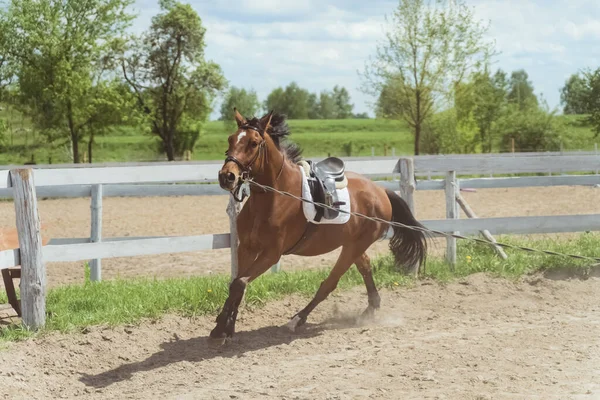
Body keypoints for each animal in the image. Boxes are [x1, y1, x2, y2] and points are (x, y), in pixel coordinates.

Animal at [211, 110, 426, 340]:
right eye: (231, 139)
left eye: (253, 142)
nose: (227, 176)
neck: (275, 197)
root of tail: (381, 191)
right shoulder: (246, 248)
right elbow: (236, 284)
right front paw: (224, 326)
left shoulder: (271, 254)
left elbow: (240, 283)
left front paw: (223, 327)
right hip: (353, 245)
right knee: (365, 267)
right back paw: (370, 309)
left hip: (354, 246)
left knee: (330, 283)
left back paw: (297, 319)